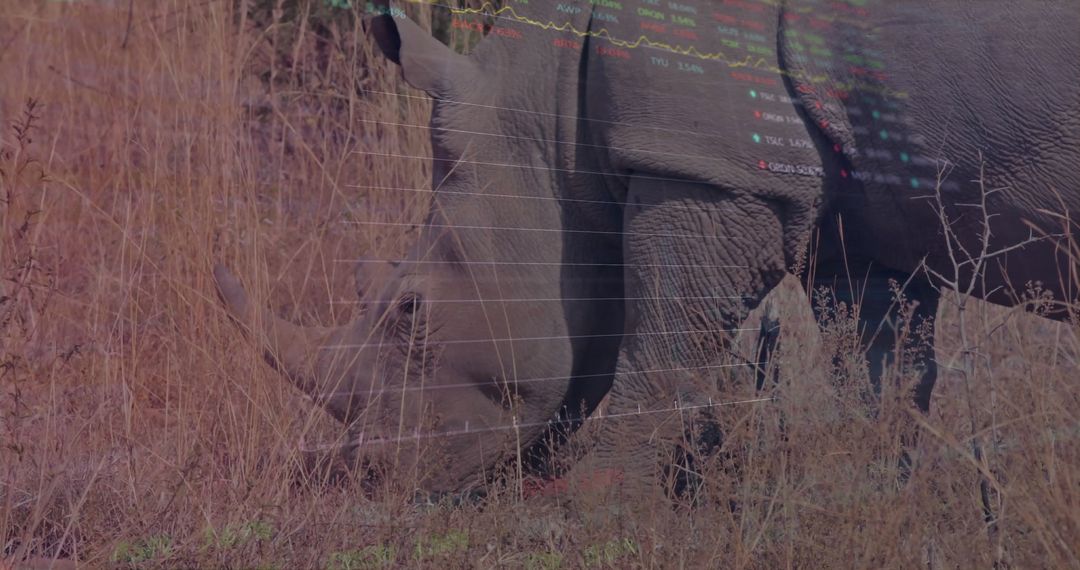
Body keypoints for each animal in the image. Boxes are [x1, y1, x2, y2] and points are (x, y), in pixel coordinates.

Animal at [214, 0, 1080, 495]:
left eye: (410, 309)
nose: (374, 476)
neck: (546, 115)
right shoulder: (857, 221)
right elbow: (879, 369)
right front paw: (873, 496)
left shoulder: (706, 170)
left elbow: (664, 344)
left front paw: (587, 506)